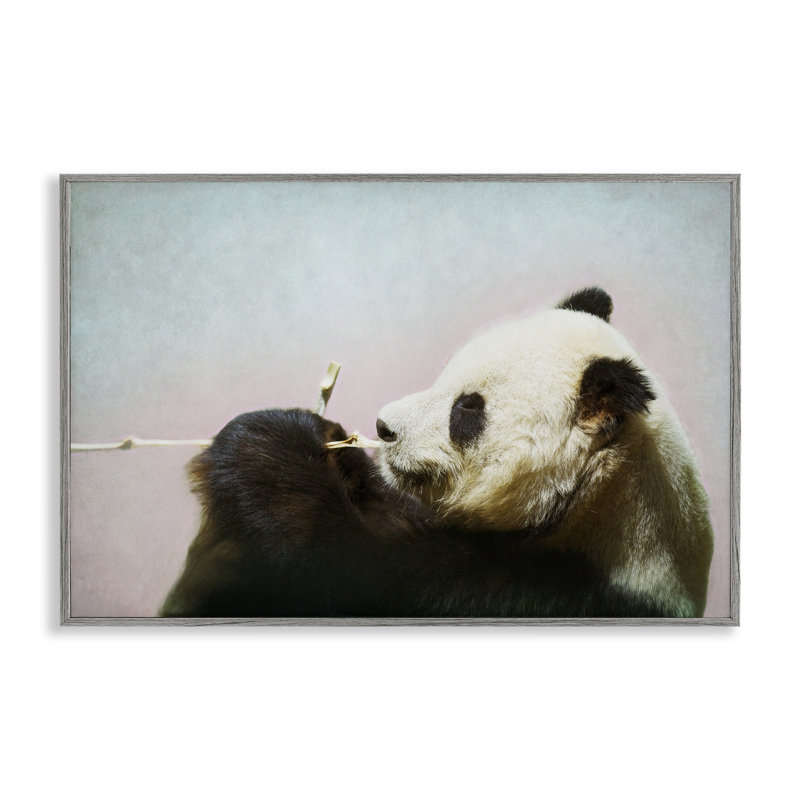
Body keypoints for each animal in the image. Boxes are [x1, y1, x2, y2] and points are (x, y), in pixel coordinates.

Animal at [161, 287, 713, 618]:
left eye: (466, 411)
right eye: (444, 374)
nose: (383, 427)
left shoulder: (552, 593)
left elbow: (354, 570)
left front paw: (268, 454)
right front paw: (332, 444)